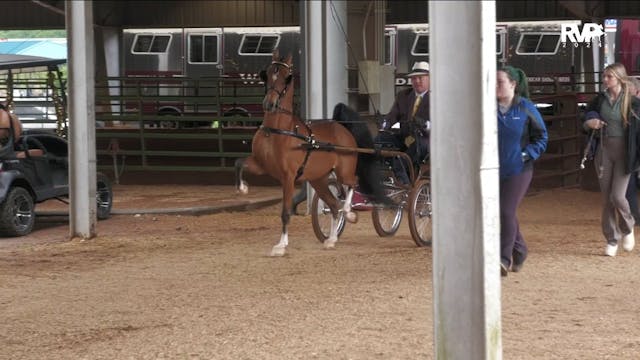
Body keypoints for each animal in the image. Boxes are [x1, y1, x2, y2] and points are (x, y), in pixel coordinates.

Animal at [235, 50, 376, 256]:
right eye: (267, 74)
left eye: (286, 77)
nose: (269, 104)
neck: (277, 131)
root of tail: (342, 128)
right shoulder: (261, 166)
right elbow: (239, 163)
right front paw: (243, 188)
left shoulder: (288, 176)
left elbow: (285, 211)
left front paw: (281, 245)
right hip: (318, 180)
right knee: (333, 205)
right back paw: (331, 239)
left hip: (343, 171)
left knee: (352, 183)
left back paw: (349, 213)